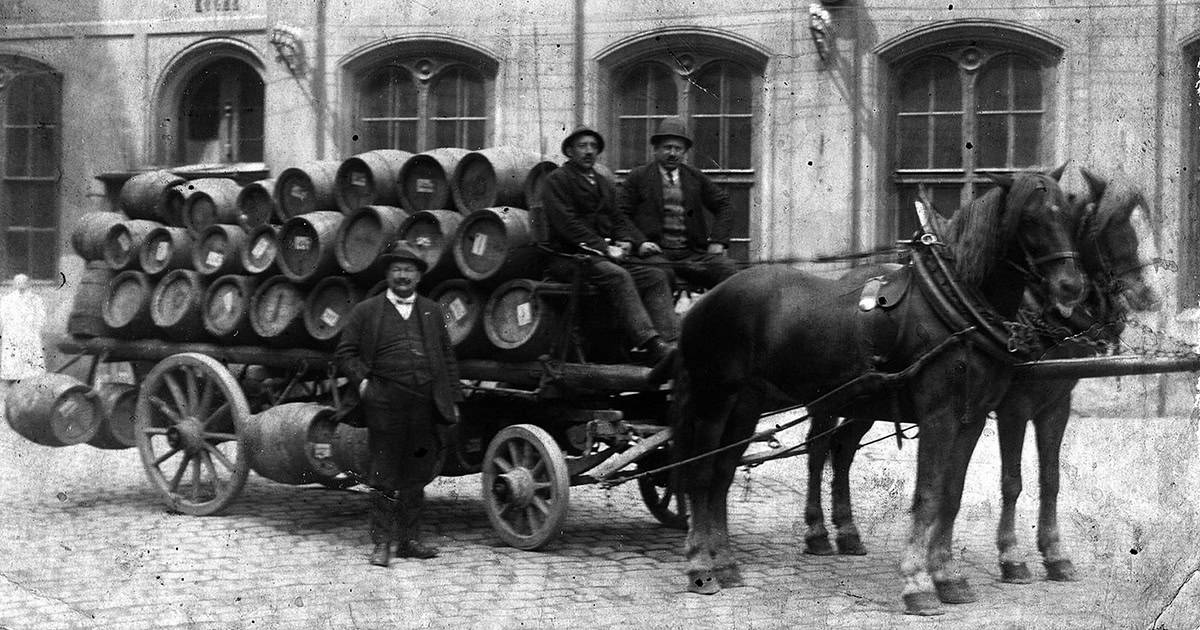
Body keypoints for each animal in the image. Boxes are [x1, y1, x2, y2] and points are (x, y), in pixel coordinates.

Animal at [676, 166, 1089, 614]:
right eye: (1028, 218)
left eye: (1068, 214)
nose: (1071, 287)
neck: (956, 307)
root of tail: (706, 300)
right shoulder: (941, 415)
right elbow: (928, 495)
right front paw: (917, 583)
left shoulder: (973, 417)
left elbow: (952, 494)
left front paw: (948, 576)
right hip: (716, 398)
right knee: (701, 473)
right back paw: (701, 565)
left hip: (748, 404)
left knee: (724, 474)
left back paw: (727, 563)